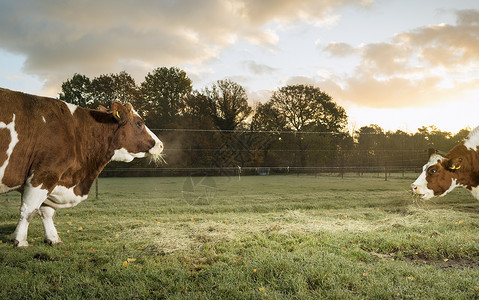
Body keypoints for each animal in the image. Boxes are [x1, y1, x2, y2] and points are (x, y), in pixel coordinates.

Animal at [0, 86, 164, 246]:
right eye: (139, 123)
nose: (161, 145)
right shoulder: (44, 174)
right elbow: (29, 210)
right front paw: (20, 240)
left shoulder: (53, 180)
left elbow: (46, 212)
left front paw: (53, 238)